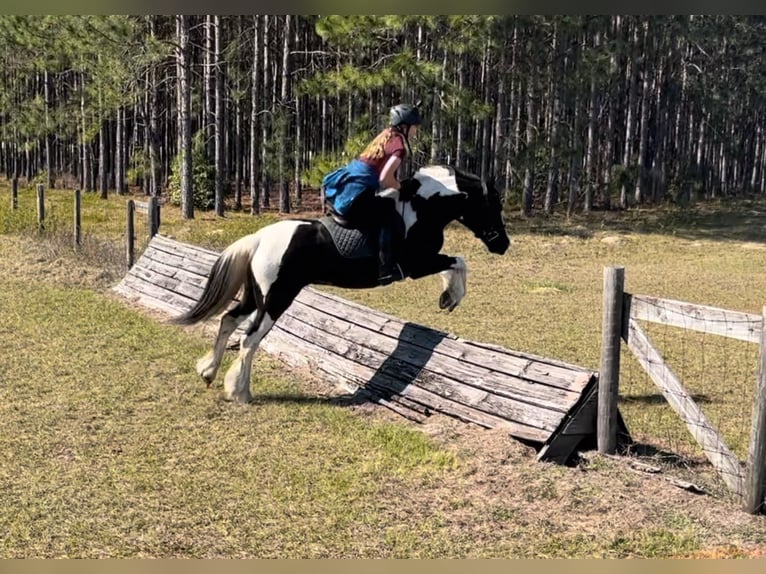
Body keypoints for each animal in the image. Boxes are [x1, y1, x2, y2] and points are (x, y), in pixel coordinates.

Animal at [172, 164, 510, 402]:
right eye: (494, 206)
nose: (503, 245)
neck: (420, 208)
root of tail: (259, 238)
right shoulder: (417, 264)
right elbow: (459, 261)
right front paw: (452, 297)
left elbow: (454, 263)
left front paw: (447, 297)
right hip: (277, 298)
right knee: (249, 338)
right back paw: (240, 392)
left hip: (255, 296)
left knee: (228, 320)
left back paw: (208, 372)